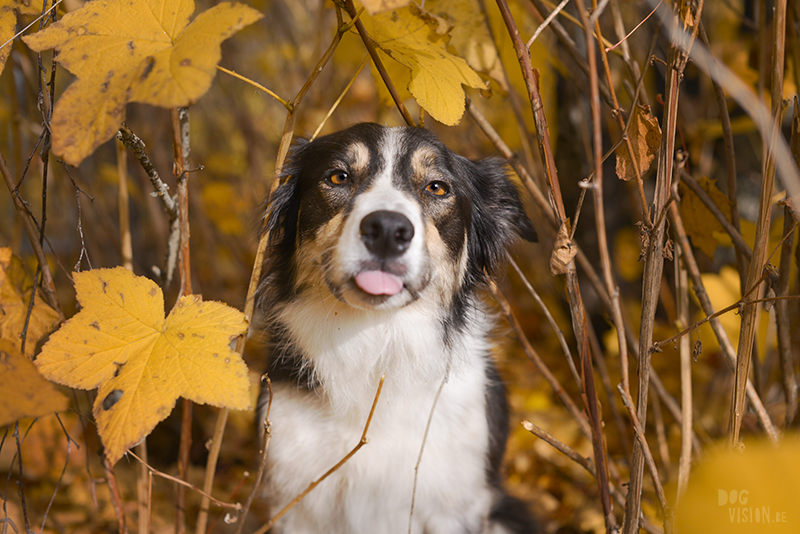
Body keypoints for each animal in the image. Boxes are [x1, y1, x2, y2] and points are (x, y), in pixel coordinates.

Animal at [258, 123, 536, 532]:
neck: (380, 344)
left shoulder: (453, 505)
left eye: (437, 187)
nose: (388, 229)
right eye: (338, 177)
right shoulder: (295, 497)